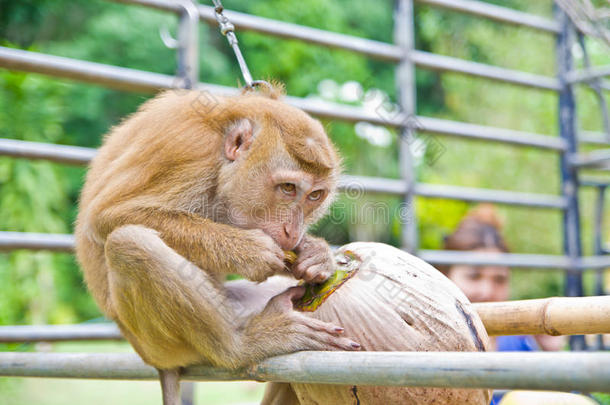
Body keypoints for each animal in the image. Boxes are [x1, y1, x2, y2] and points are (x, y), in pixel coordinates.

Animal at [75, 87, 360, 400]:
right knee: (127, 243)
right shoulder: (189, 151)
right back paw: (241, 345)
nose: (292, 231)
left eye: (315, 196)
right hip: (160, 346)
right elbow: (106, 216)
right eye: (288, 188)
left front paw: (314, 254)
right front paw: (250, 252)